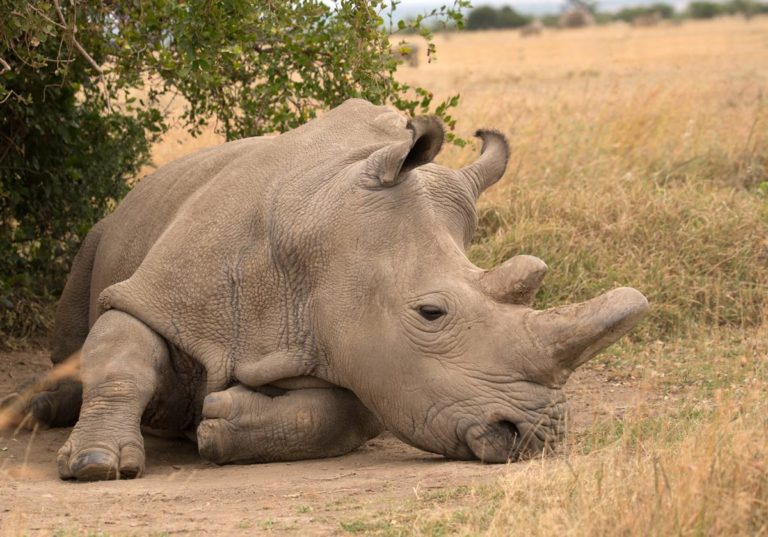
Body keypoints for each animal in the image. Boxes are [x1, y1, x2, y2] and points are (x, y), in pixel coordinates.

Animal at [1, 98, 648, 480]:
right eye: (431, 312)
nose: (537, 437)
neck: (320, 231)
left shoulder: (360, 345)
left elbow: (343, 414)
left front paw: (217, 424)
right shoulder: (155, 295)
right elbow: (122, 357)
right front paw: (96, 463)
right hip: (107, 227)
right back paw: (39, 412)